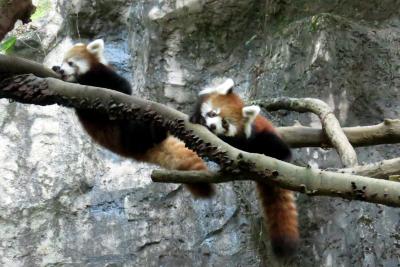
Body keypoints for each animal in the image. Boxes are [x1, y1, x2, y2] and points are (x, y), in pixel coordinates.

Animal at [189, 78, 298, 258]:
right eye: (212, 114)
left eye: (225, 123)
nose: (212, 127)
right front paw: (195, 118)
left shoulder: (244, 139)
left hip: (269, 138)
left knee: (281, 149)